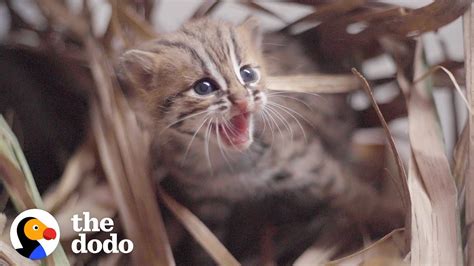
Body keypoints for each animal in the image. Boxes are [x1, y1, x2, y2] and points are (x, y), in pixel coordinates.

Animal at [117, 17, 400, 262]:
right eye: (204, 87)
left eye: (247, 74)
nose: (243, 100)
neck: (227, 162)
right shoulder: (207, 200)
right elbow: (207, 242)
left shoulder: (310, 163)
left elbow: (358, 196)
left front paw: (394, 219)